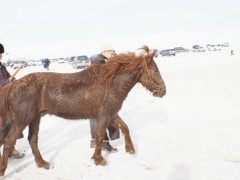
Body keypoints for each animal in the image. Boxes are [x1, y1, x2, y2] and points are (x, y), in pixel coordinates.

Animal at [0, 45, 166, 177]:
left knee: (32, 140)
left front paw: (130, 150)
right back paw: (3, 171)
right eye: (155, 70)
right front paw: (99, 160)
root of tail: (13, 85)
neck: (110, 83)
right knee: (9, 141)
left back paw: (43, 163)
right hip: (22, 120)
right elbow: (99, 137)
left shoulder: (111, 113)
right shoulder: (104, 116)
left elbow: (125, 127)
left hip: (35, 118)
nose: (163, 91)